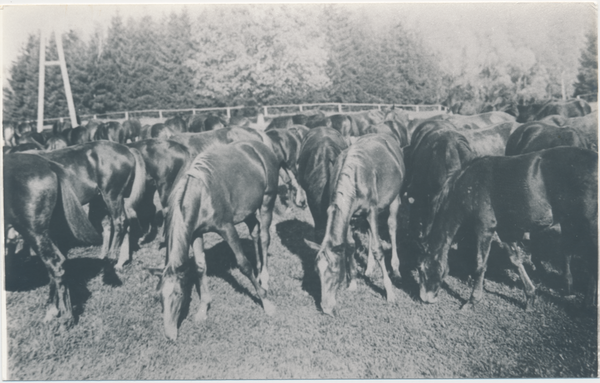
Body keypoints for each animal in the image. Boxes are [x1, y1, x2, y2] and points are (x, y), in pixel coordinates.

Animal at [4, 153, 102, 328]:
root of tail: (47, 164)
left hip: (32, 230)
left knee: (55, 265)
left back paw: (63, 318)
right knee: (58, 265)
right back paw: (57, 312)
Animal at [152, 140, 278, 340]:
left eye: (179, 294)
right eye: (158, 297)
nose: (170, 334)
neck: (200, 191)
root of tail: (261, 146)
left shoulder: (227, 228)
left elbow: (243, 264)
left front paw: (265, 301)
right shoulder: (195, 233)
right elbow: (200, 267)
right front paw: (203, 308)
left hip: (267, 201)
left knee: (265, 237)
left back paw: (264, 279)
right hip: (248, 210)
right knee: (255, 231)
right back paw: (259, 272)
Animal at [304, 134, 408, 316]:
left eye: (334, 271)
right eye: (317, 272)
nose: (326, 308)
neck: (353, 180)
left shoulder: (372, 210)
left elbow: (378, 249)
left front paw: (390, 292)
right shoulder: (349, 214)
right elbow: (351, 245)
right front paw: (352, 282)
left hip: (394, 198)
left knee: (391, 227)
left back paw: (396, 270)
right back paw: (369, 267)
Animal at [420, 147, 596, 312]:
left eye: (421, 270)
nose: (425, 299)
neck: (469, 185)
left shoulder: (485, 228)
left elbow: (480, 264)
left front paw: (473, 300)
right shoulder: (504, 231)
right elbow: (515, 260)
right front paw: (530, 296)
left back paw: (587, 304)